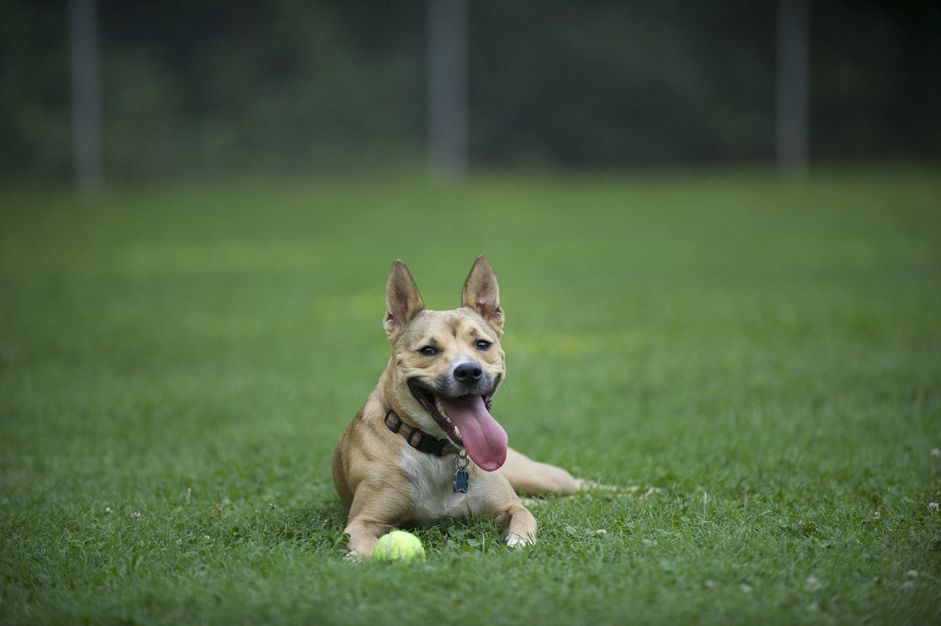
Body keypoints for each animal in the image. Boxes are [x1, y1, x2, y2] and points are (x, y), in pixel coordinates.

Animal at [330, 256, 580, 552]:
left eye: (482, 344)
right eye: (428, 350)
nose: (469, 371)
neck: (438, 453)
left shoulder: (510, 506)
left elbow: (522, 518)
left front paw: (518, 543)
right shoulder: (363, 520)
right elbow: (368, 545)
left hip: (539, 476)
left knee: (577, 484)